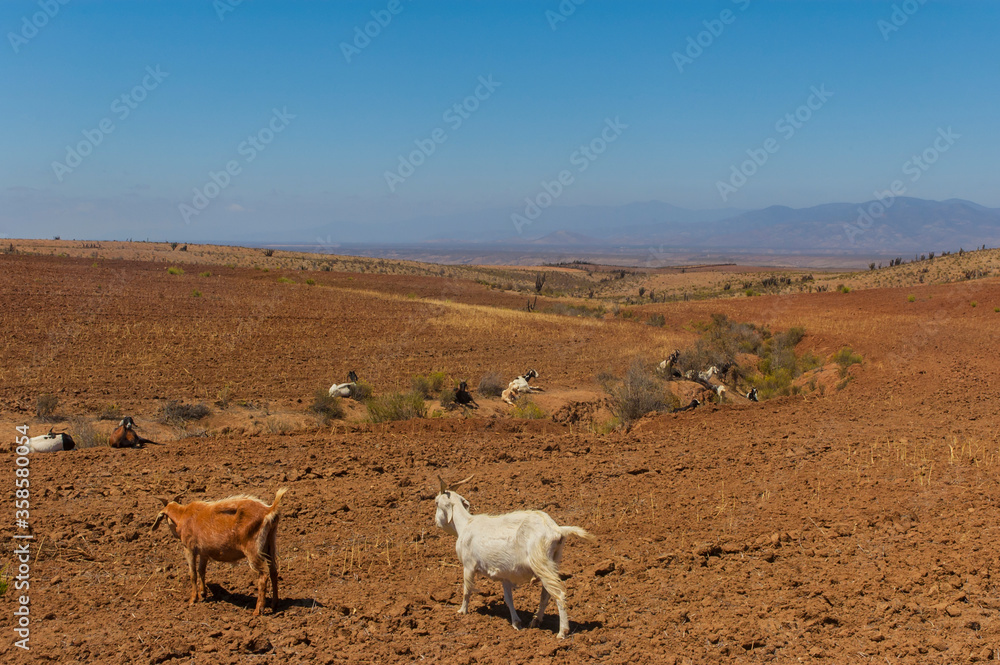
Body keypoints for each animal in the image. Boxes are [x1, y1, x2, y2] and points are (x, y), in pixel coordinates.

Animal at [152, 488, 287, 616]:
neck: (183, 514)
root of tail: (269, 510)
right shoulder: (204, 552)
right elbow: (201, 570)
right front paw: (203, 593)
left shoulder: (189, 548)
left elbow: (193, 573)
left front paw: (193, 600)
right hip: (270, 545)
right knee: (273, 571)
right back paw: (274, 604)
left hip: (253, 551)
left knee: (263, 577)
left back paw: (258, 610)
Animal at [434, 476, 594, 639]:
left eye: (436, 502)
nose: (436, 522)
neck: (465, 524)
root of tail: (557, 530)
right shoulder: (504, 574)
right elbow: (508, 598)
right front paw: (516, 623)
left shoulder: (468, 565)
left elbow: (467, 589)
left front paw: (462, 612)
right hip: (553, 561)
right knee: (546, 595)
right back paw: (535, 621)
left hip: (540, 562)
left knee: (559, 594)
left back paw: (562, 632)